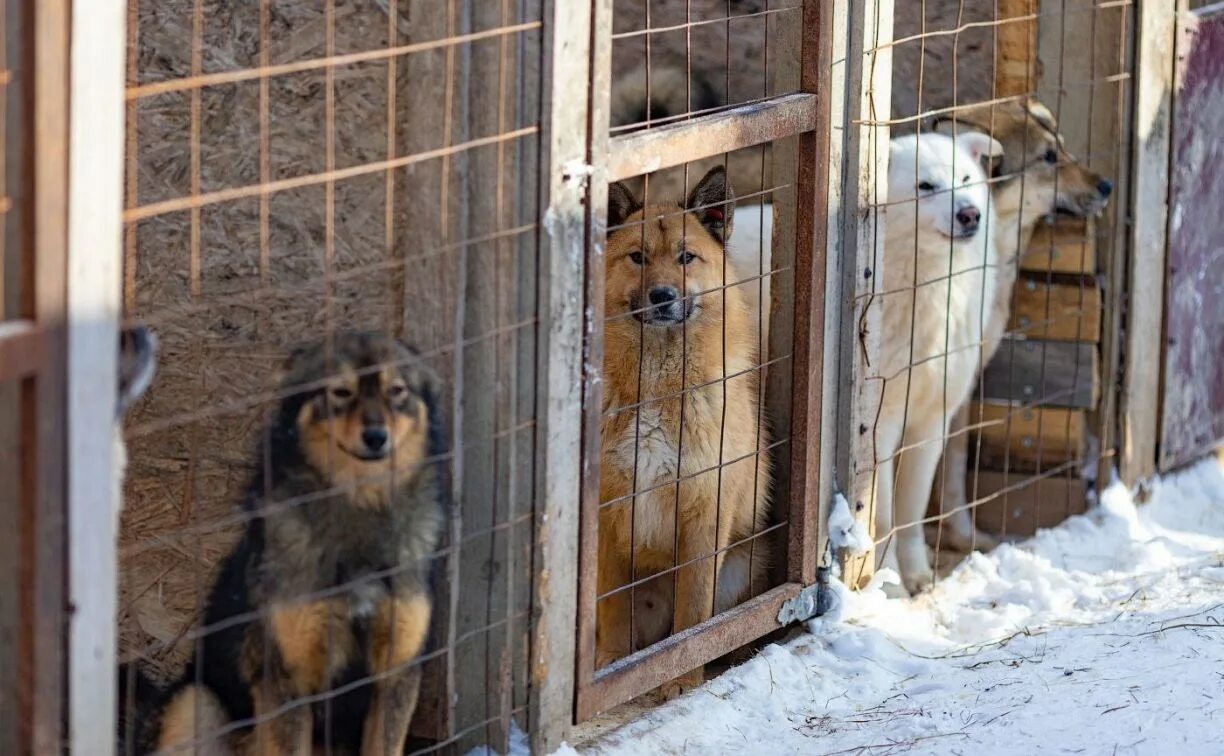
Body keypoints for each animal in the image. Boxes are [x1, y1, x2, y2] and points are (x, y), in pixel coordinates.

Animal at [140, 332, 445, 748]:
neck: (360, 512)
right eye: (340, 392)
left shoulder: (396, 674)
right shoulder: (288, 681)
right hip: (196, 703)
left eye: (397, 391)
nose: (376, 437)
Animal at [597, 165, 768, 694]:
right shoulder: (608, 521)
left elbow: (693, 616)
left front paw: (682, 678)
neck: (656, 386)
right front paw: (610, 666)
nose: (662, 296)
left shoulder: (705, 515)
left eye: (686, 258)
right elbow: (612, 609)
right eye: (637, 257)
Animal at [876, 133, 998, 594]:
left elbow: (910, 512)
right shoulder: (881, 428)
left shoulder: (931, 422)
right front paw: (888, 584)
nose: (970, 214)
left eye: (964, 179)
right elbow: (882, 519)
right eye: (925, 186)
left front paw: (917, 574)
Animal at [930, 98, 1116, 548]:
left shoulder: (963, 382)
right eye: (1047, 158)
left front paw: (965, 539)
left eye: (1062, 147)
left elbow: (954, 469)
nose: (1107, 186)